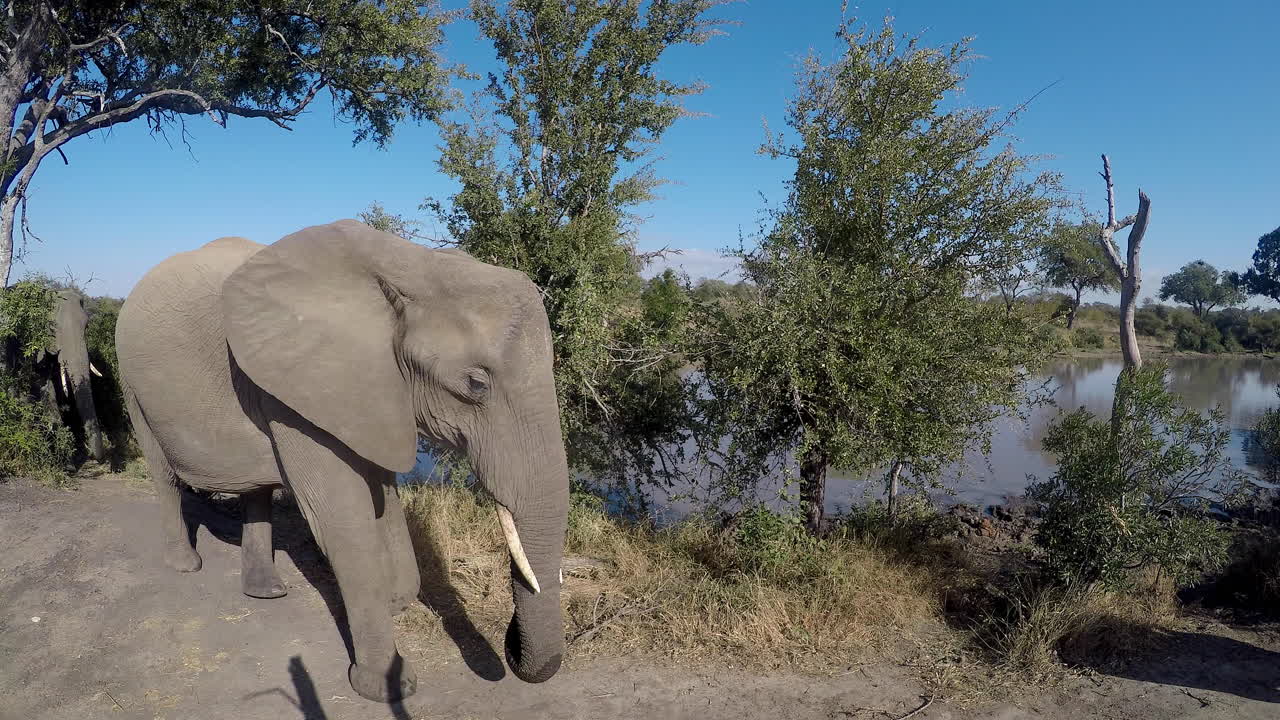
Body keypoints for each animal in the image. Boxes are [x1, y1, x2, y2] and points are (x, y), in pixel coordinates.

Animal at [115, 219, 570, 703]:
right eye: (476, 384)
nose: (511, 642)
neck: (414, 264)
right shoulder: (300, 384)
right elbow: (342, 521)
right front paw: (387, 686)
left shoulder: (373, 389)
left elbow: (383, 496)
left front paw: (396, 600)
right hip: (131, 379)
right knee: (163, 475)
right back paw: (186, 565)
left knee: (256, 491)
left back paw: (266, 593)